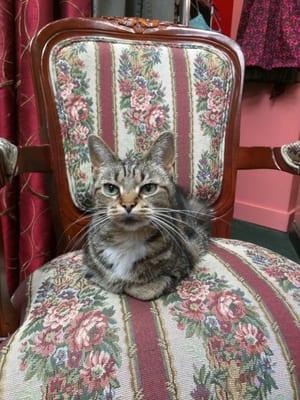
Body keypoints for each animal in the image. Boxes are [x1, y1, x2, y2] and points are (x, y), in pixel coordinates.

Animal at [84, 131, 211, 300]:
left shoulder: (185, 260)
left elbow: (147, 288)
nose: (128, 205)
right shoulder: (90, 266)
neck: (128, 238)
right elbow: (104, 278)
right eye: (111, 189)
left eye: (149, 188)